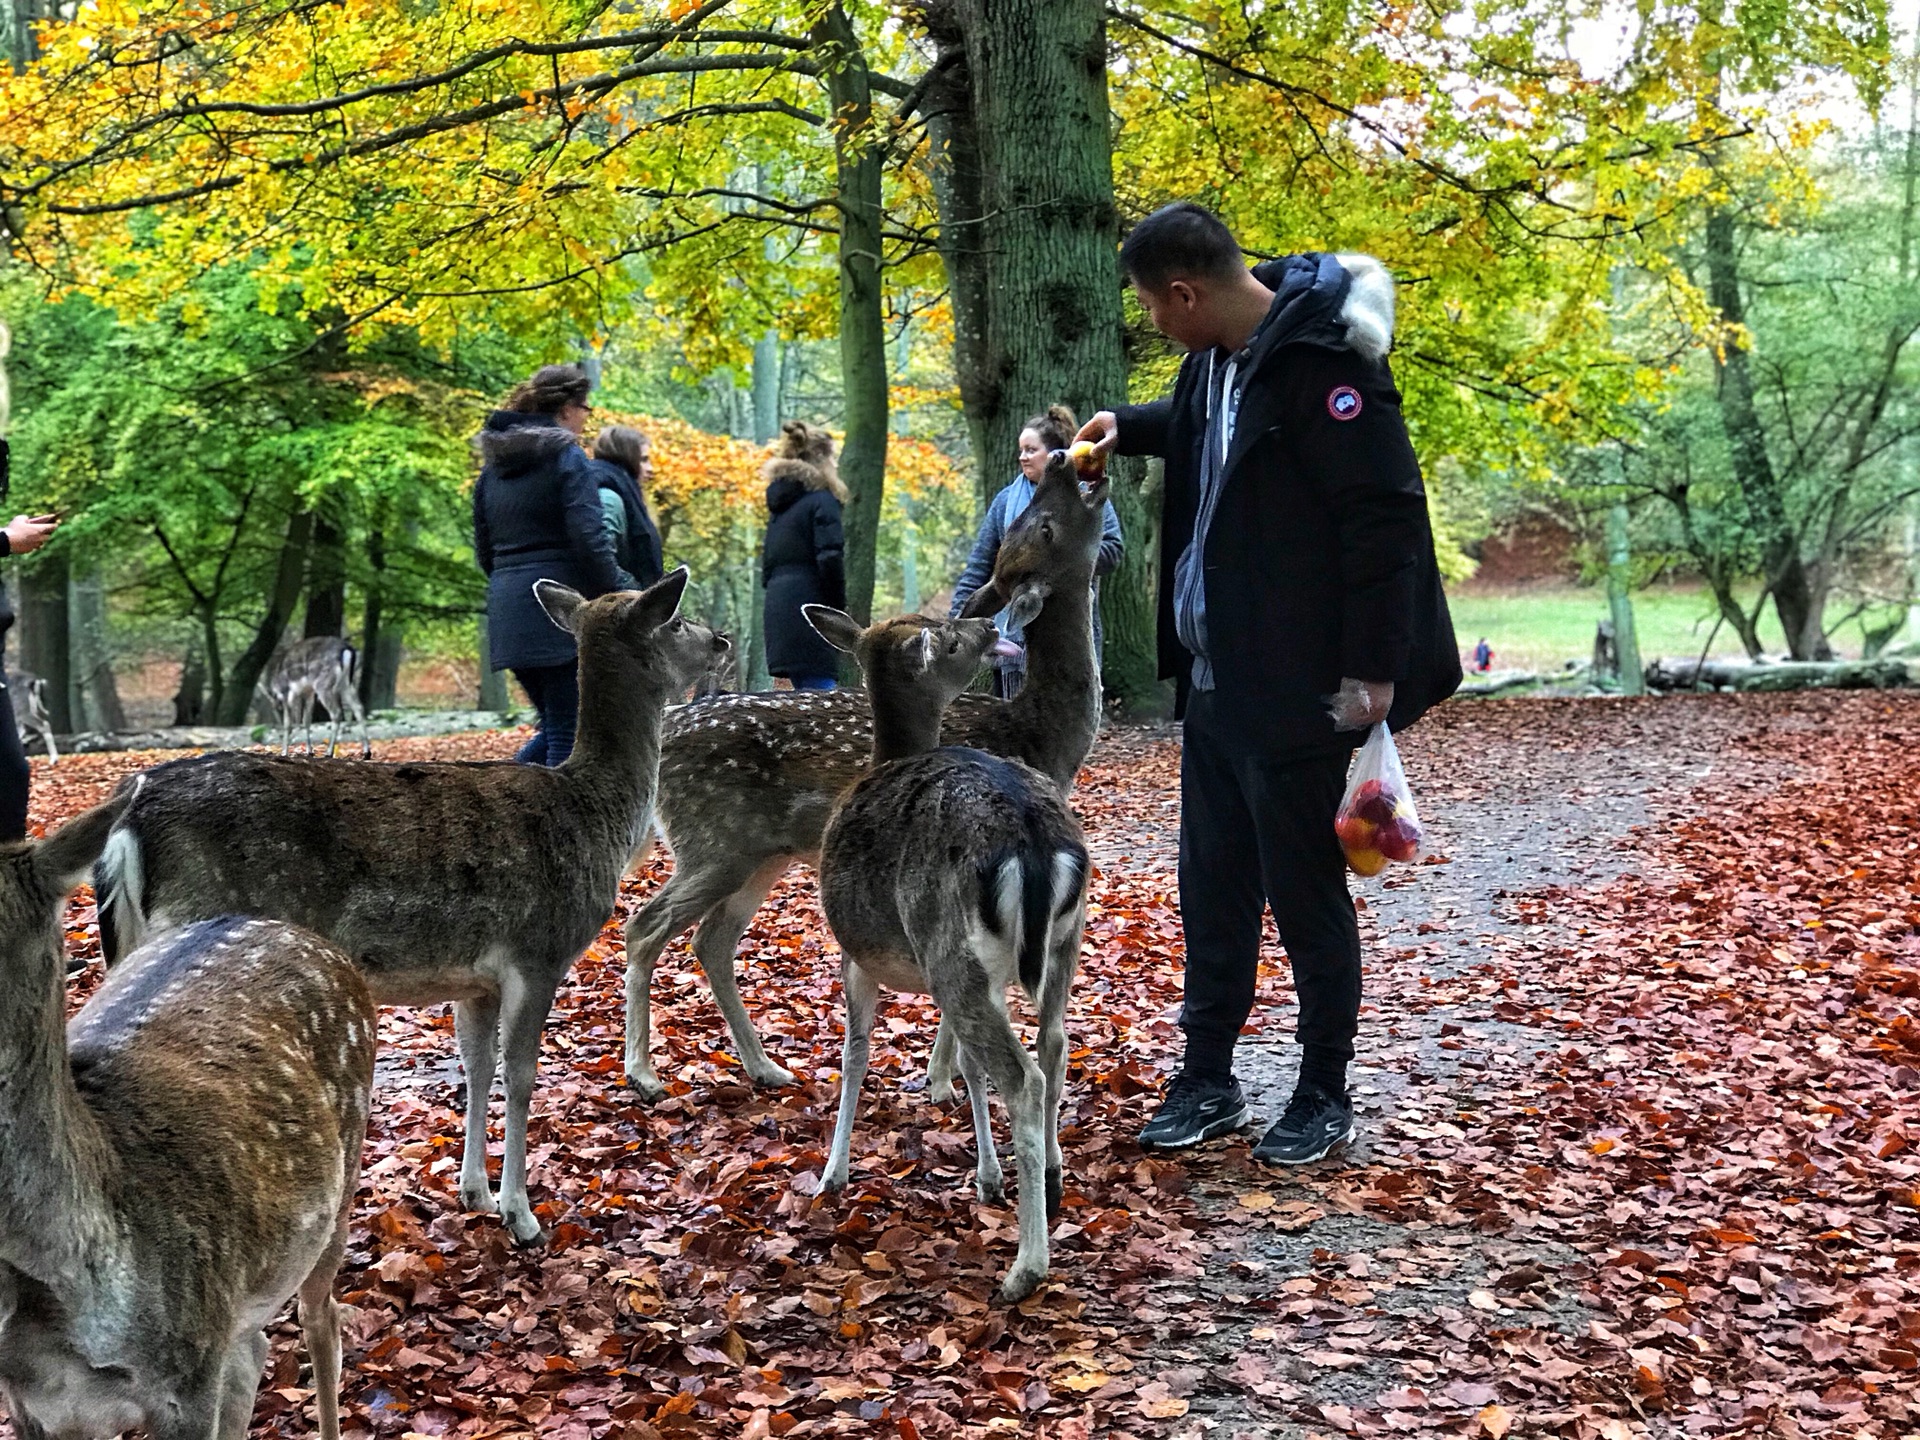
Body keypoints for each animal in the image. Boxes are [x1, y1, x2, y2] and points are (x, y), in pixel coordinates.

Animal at [88, 568, 725, 1244]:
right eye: (675, 619)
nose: (723, 640)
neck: (596, 817)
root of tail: (130, 820)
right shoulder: (537, 951)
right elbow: (521, 1076)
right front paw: (521, 1214)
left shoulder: (476, 978)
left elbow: (477, 1068)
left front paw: (474, 1192)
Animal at [622, 453, 1121, 1105]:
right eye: (1040, 525)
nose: (1063, 459)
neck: (1040, 736)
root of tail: (668, 730)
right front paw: (941, 1081)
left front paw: (941, 1076)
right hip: (713, 839)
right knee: (646, 927)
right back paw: (644, 1074)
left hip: (761, 852)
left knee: (711, 939)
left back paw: (766, 1068)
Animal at [802, 602, 1090, 1305]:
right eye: (957, 634)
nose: (990, 625)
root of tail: (1032, 838)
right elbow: (963, 1063)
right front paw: (986, 1176)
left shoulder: (855, 954)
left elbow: (854, 1056)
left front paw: (832, 1174)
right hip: (1054, 943)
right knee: (1053, 1043)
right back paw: (1051, 1177)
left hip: (945, 945)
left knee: (1022, 1075)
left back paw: (1026, 1267)